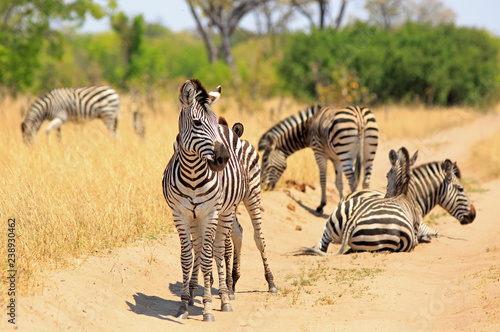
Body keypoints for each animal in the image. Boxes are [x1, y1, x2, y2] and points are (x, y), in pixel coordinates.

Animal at [162, 78, 276, 322]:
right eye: (197, 122)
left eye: (213, 123)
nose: (223, 158)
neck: (192, 174)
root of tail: (231, 129)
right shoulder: (182, 214)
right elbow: (188, 256)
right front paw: (184, 304)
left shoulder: (210, 212)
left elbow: (208, 256)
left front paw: (207, 307)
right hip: (222, 210)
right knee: (230, 237)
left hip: (249, 196)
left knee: (253, 239)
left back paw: (264, 284)